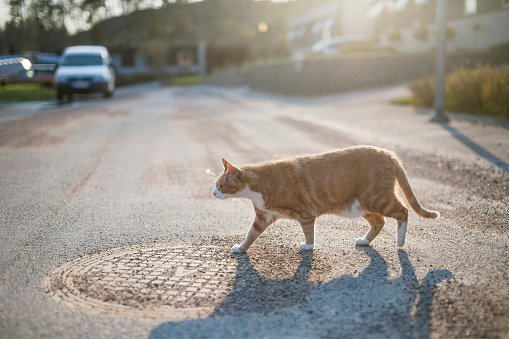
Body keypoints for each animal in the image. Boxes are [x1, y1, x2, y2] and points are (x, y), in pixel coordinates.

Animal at [212, 145, 438, 254]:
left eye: (220, 185)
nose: (213, 193)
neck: (258, 187)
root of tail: (390, 154)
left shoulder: (305, 212)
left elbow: (308, 231)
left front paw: (308, 246)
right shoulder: (263, 216)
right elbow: (251, 234)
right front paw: (241, 249)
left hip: (376, 198)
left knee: (403, 212)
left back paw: (400, 241)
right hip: (360, 204)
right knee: (379, 221)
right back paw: (365, 240)